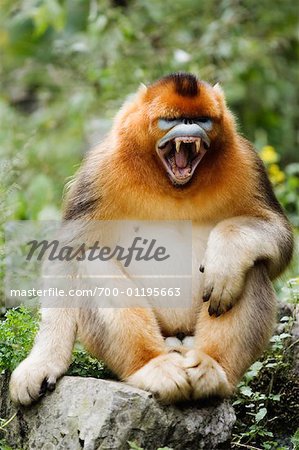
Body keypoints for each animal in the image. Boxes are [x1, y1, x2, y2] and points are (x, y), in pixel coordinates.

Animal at [10, 73, 294, 404]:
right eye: (171, 119)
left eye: (202, 119)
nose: (190, 127)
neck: (172, 185)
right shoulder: (100, 170)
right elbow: (67, 254)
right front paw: (43, 363)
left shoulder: (247, 162)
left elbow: (279, 238)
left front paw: (225, 259)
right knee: (92, 259)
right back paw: (151, 366)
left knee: (252, 267)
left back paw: (212, 368)